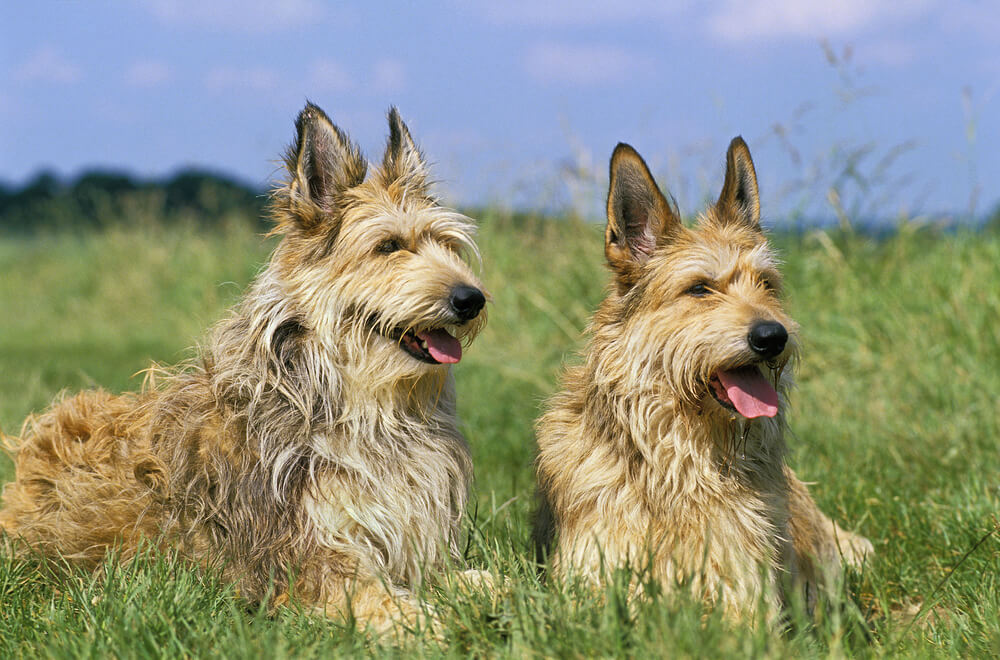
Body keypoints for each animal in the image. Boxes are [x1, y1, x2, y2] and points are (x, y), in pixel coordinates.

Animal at [0, 103, 490, 636]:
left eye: (447, 244)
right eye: (388, 246)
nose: (472, 299)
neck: (362, 407)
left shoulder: (411, 552)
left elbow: (485, 580)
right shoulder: (308, 567)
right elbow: (400, 610)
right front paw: (448, 626)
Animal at [536, 137, 872, 620]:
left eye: (766, 284)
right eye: (699, 289)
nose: (773, 336)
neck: (681, 459)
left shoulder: (744, 590)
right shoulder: (591, 582)